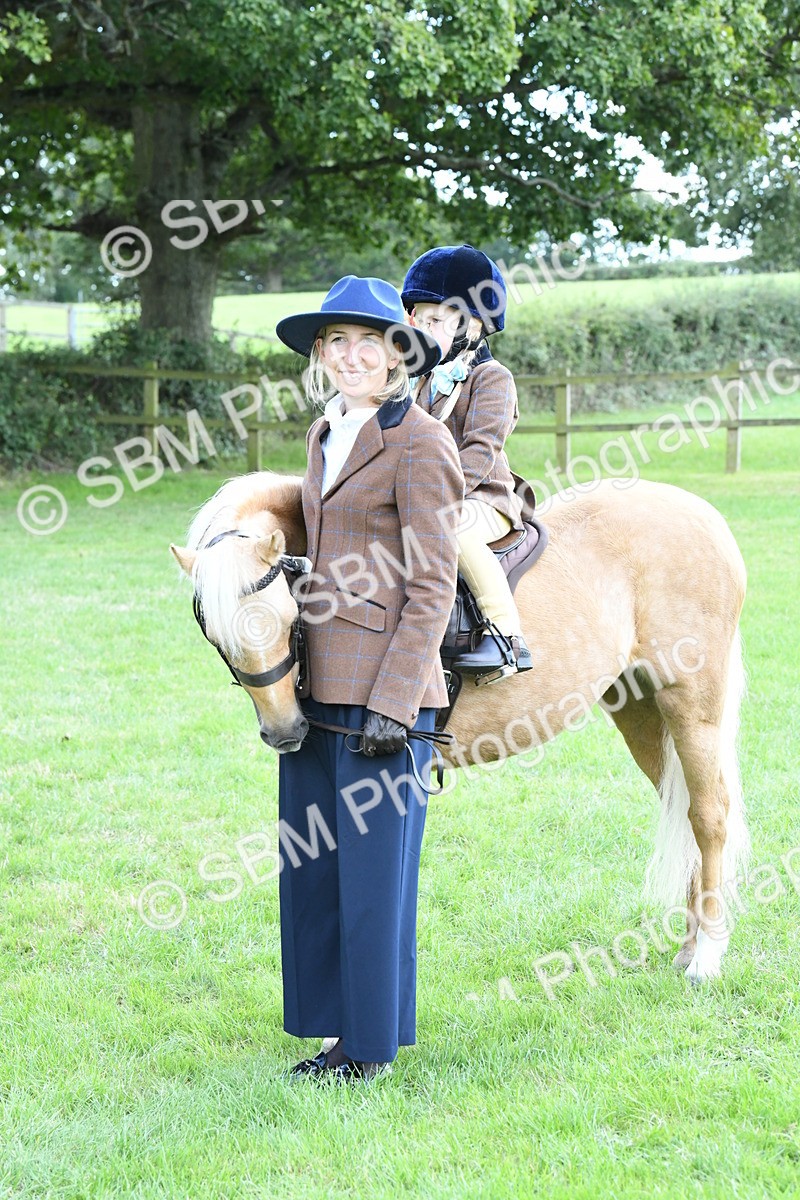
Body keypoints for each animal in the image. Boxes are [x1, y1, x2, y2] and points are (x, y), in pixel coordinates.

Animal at [170, 470, 749, 985]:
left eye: (289, 619)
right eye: (213, 632)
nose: (285, 731)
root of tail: (705, 517)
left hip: (691, 706)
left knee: (708, 817)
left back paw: (706, 958)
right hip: (640, 710)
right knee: (683, 809)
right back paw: (690, 946)